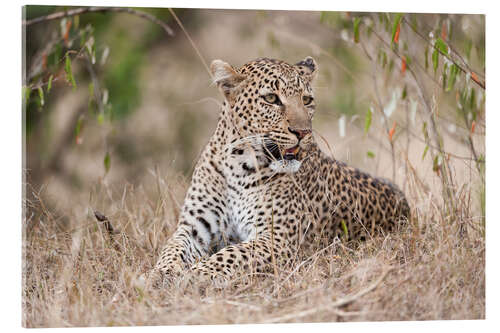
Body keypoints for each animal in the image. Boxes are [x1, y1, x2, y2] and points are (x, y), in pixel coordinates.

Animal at [148, 55, 410, 286]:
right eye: (272, 98)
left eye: (307, 100)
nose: (303, 132)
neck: (238, 166)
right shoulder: (193, 227)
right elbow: (172, 248)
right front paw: (160, 274)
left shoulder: (276, 238)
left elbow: (231, 254)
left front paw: (196, 274)